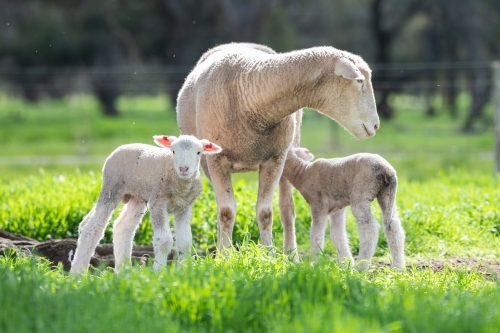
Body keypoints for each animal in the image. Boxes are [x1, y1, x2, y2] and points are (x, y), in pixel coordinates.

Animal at [69, 134, 222, 274]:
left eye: (198, 152)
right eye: (173, 151)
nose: (184, 169)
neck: (179, 185)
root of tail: (122, 146)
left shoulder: (184, 206)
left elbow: (185, 241)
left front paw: (183, 271)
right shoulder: (158, 202)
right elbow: (164, 240)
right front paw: (159, 271)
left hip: (137, 197)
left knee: (122, 227)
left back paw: (123, 270)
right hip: (111, 187)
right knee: (92, 228)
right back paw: (78, 272)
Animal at [176, 42, 378, 256]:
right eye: (359, 80)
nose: (376, 125)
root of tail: (237, 44)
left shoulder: (275, 159)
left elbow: (266, 213)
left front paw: (268, 254)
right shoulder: (217, 161)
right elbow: (226, 212)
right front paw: (224, 256)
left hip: (290, 151)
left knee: (287, 208)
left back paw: (291, 253)